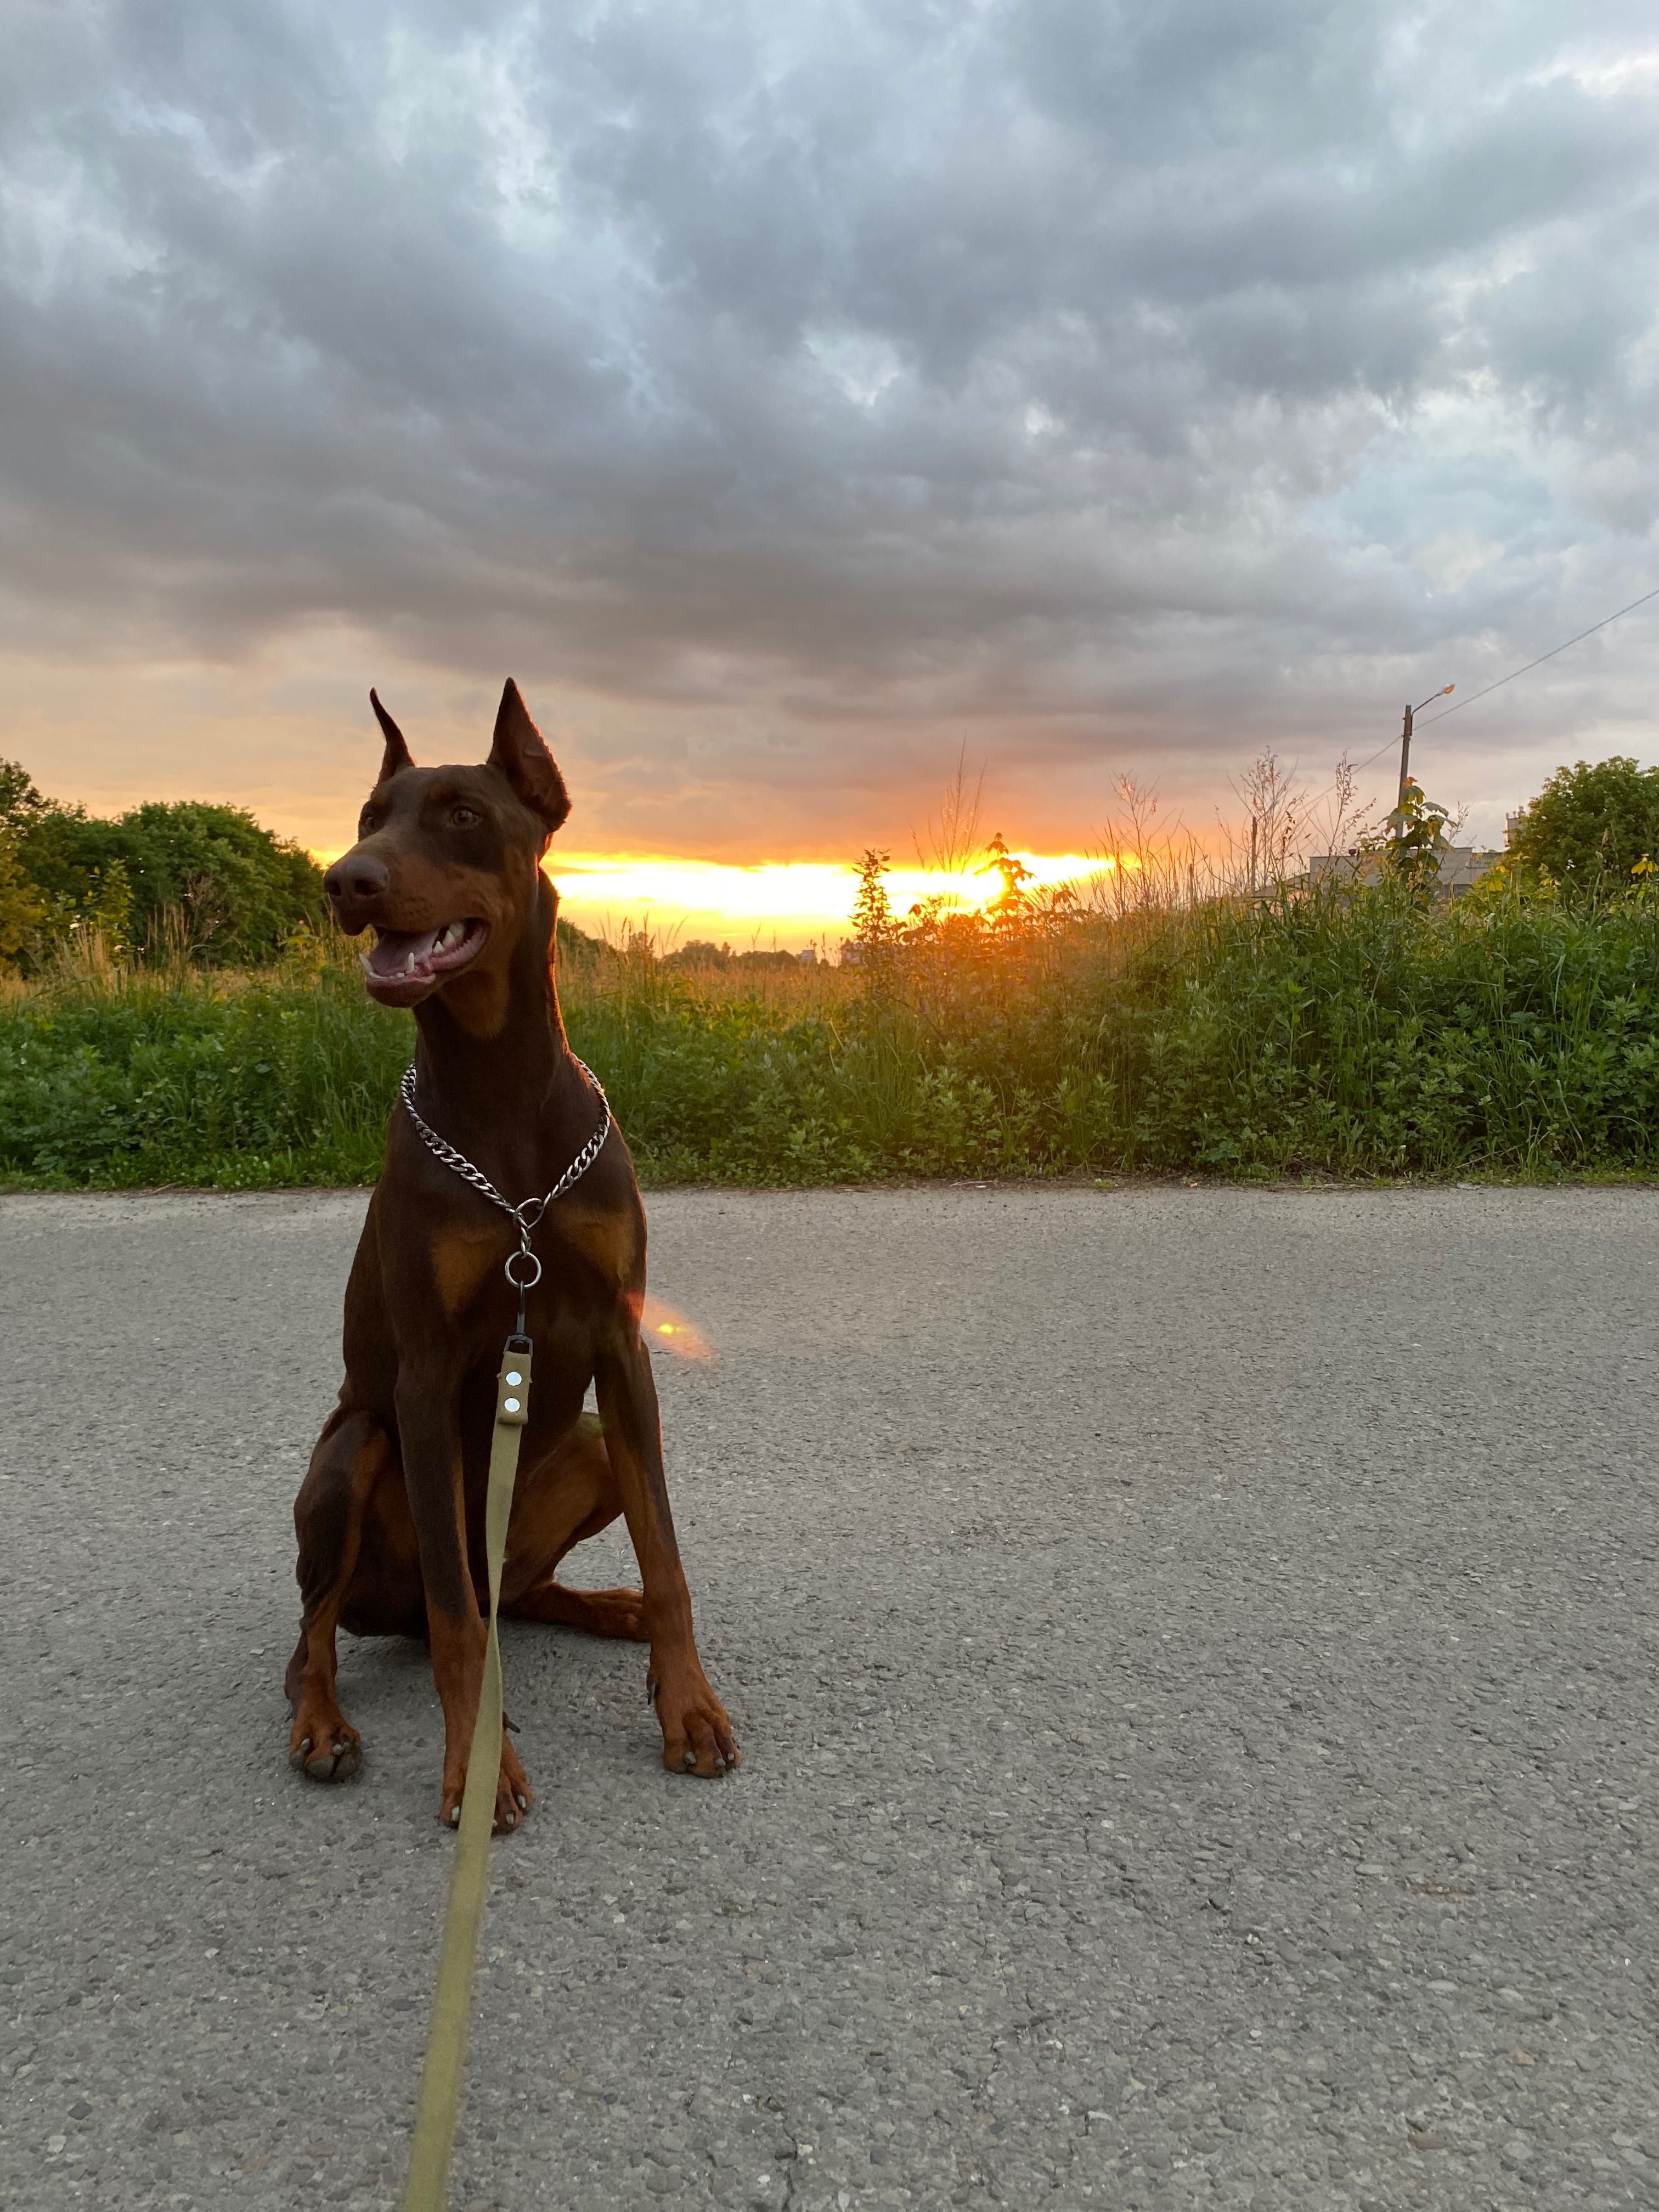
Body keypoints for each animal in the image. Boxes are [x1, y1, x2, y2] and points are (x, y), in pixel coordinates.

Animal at [285, 676, 738, 1831]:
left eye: (459, 814)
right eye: (370, 815)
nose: (344, 879)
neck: (498, 1095)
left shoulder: (622, 1347)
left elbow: (667, 1556)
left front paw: (688, 1707)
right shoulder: (423, 1375)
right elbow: (458, 1616)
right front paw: (473, 1764)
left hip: (583, 1442)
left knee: (523, 1593)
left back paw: (612, 1609)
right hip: (353, 1453)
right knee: (327, 1630)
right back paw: (320, 1727)